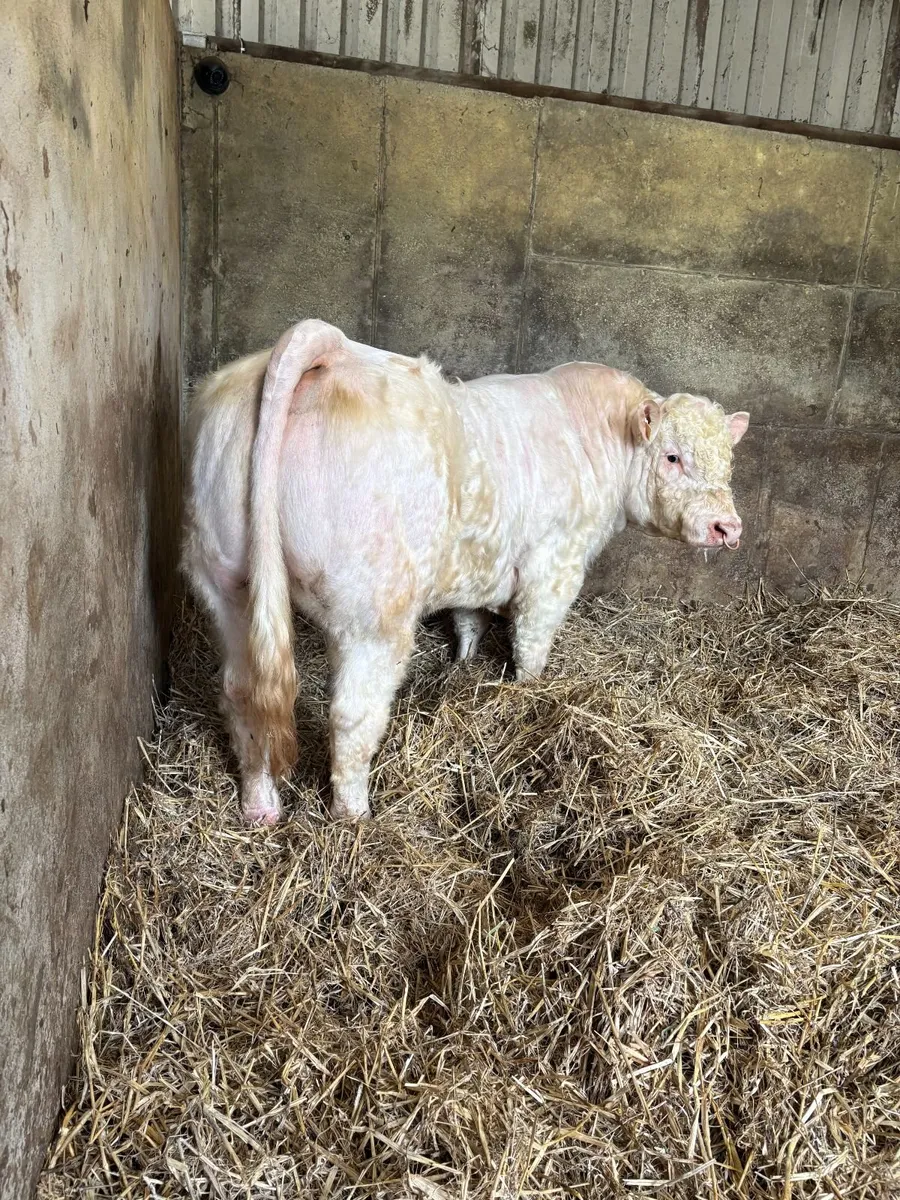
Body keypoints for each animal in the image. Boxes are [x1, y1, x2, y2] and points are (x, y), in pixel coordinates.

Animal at [182, 319, 749, 824]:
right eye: (672, 457)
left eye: (728, 463)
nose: (728, 526)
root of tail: (331, 349)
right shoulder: (554, 566)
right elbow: (532, 643)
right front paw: (526, 694)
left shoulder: (478, 568)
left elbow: (469, 618)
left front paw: (462, 663)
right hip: (372, 610)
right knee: (351, 714)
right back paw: (355, 817)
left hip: (226, 582)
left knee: (243, 694)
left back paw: (261, 809)